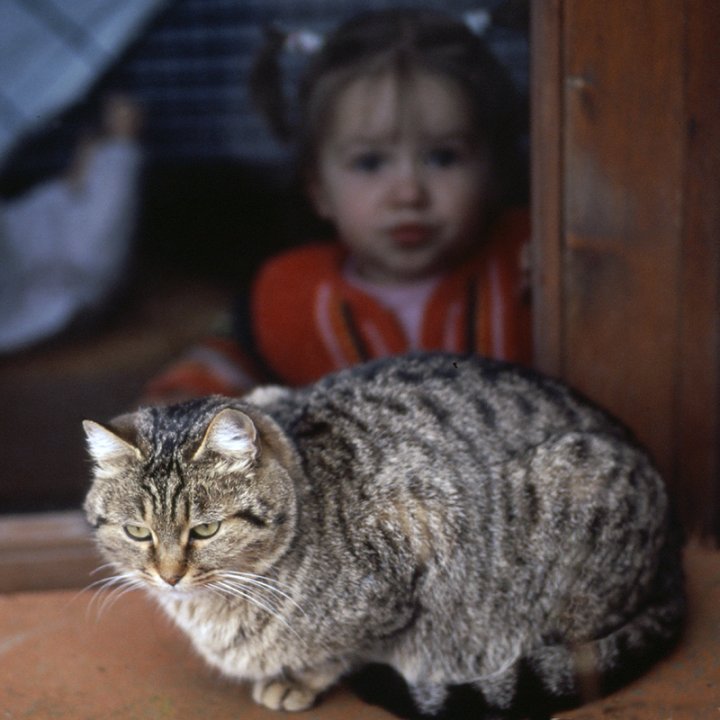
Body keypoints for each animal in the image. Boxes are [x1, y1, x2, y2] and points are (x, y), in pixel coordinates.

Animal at [81, 352, 684, 716]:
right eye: (138, 531)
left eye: (204, 529)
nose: (169, 576)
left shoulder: (417, 544)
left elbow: (344, 650)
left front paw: (299, 678)